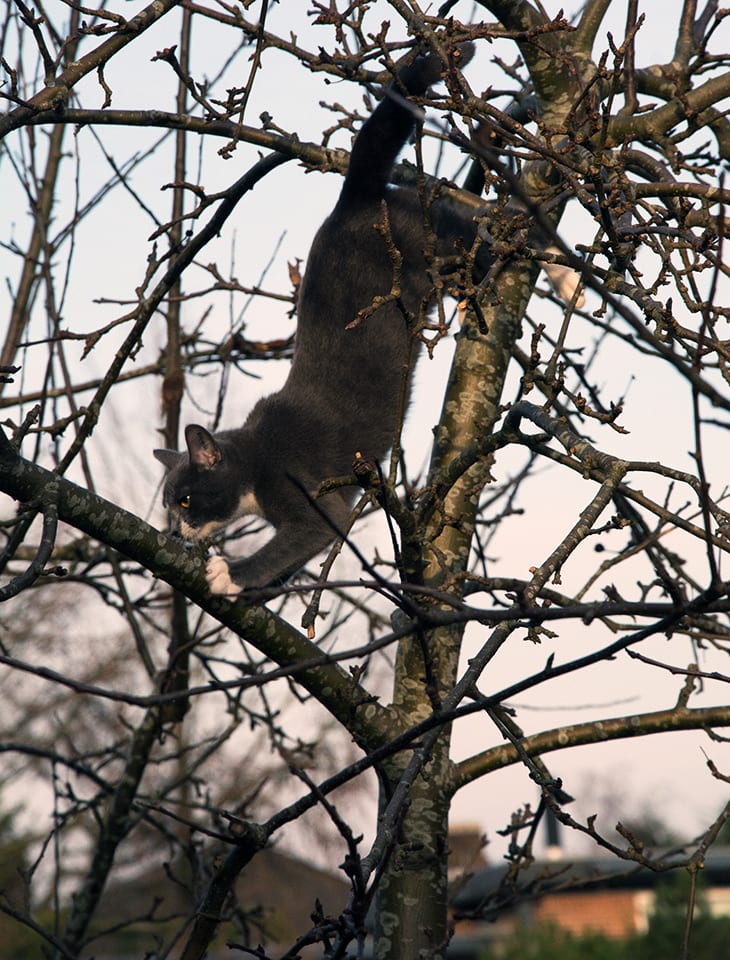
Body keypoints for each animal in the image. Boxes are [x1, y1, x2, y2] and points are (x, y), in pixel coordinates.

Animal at [155, 48, 580, 600]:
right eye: (169, 505)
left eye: (185, 500)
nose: (176, 531)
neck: (252, 459)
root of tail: (351, 198)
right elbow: (289, 563)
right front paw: (259, 593)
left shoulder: (300, 484)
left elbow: (309, 532)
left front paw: (231, 574)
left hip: (432, 242)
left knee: (490, 233)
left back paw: (559, 260)